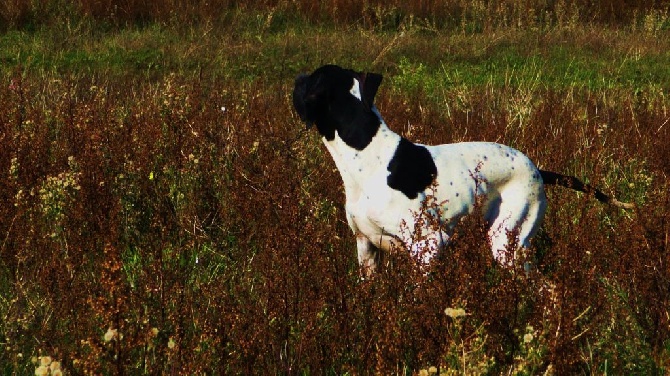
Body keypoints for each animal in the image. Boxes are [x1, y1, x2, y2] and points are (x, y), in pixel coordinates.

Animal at [294, 64, 636, 274]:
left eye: (310, 79)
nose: (295, 77)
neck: (369, 156)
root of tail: (537, 168)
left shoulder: (428, 247)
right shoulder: (366, 251)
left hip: (508, 245)